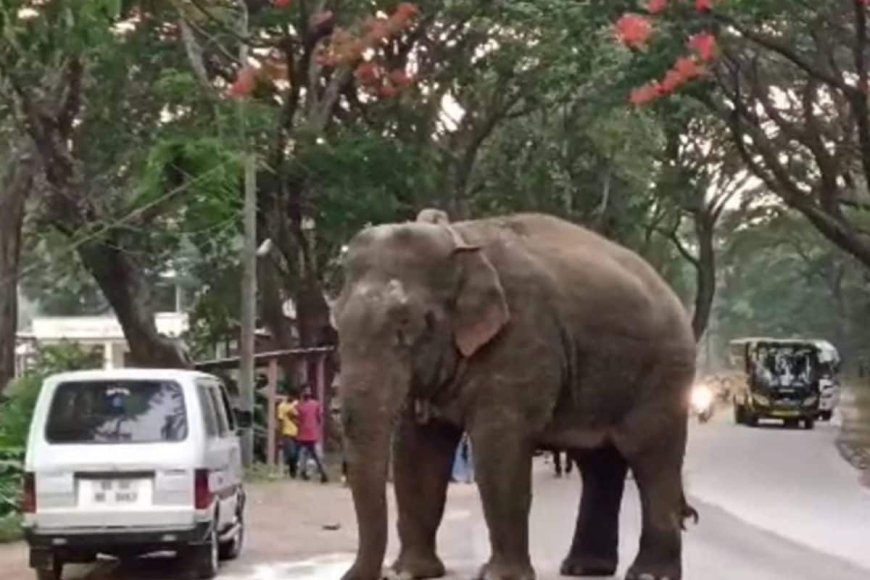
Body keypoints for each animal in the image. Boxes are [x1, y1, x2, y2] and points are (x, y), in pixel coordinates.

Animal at [338, 211, 700, 580]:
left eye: (405, 323)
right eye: (336, 323)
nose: (377, 574)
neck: (457, 236)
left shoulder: (521, 338)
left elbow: (498, 448)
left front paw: (499, 576)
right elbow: (416, 452)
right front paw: (412, 572)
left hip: (665, 373)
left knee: (651, 459)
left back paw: (648, 574)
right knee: (599, 464)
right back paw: (584, 567)